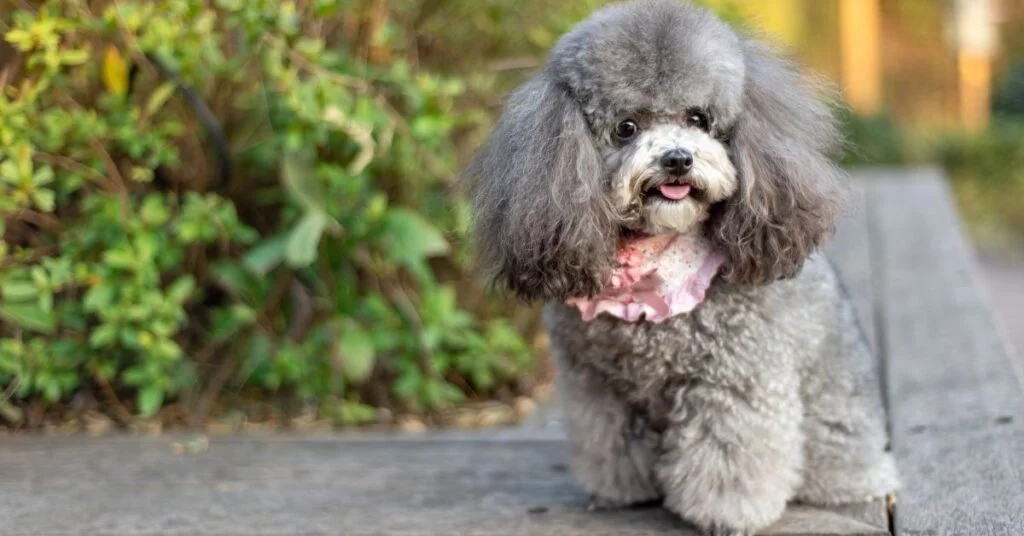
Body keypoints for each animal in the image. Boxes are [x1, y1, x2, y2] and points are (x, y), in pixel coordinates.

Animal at [464, 2, 897, 532]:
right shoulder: (597, 388)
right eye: (627, 127)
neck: (649, 264)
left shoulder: (734, 379)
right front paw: (621, 491)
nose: (677, 159)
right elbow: (609, 442)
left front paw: (727, 514)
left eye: (699, 118)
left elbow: (729, 452)